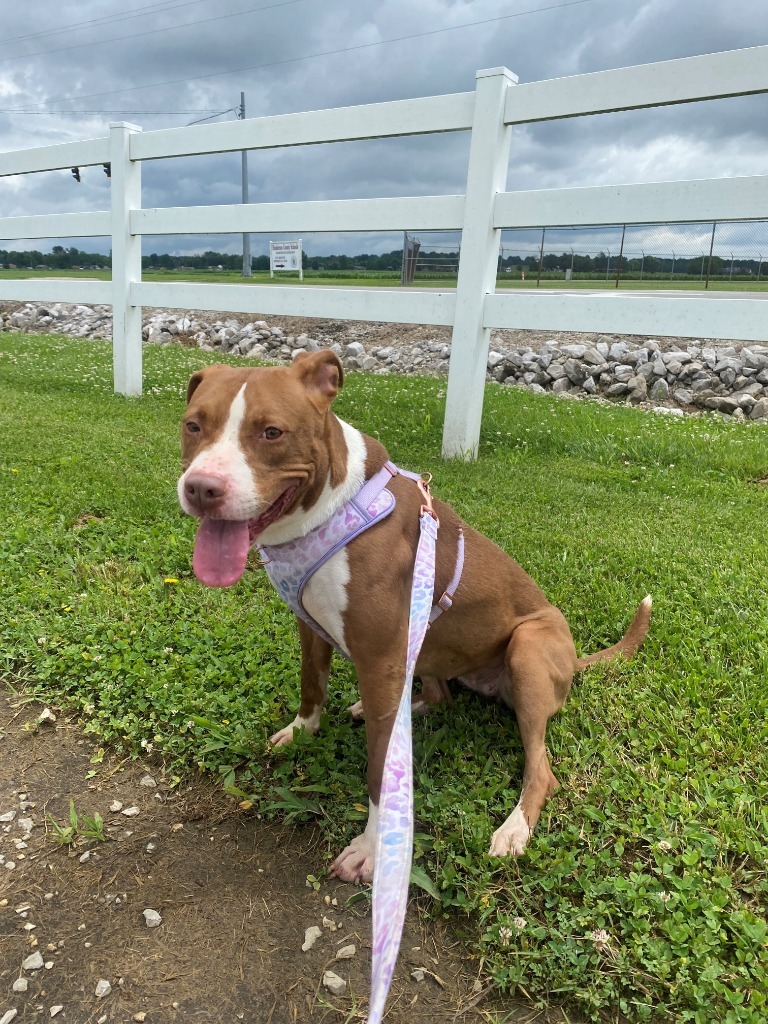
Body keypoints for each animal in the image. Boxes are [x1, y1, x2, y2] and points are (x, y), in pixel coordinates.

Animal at [177, 350, 651, 880]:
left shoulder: (381, 660)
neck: (328, 508)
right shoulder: (311, 626)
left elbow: (380, 772)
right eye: (193, 425)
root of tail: (574, 661)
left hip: (528, 648)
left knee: (541, 768)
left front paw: (371, 849)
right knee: (439, 696)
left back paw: (513, 828)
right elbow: (311, 682)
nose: (201, 488)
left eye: (271, 432)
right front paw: (301, 730)